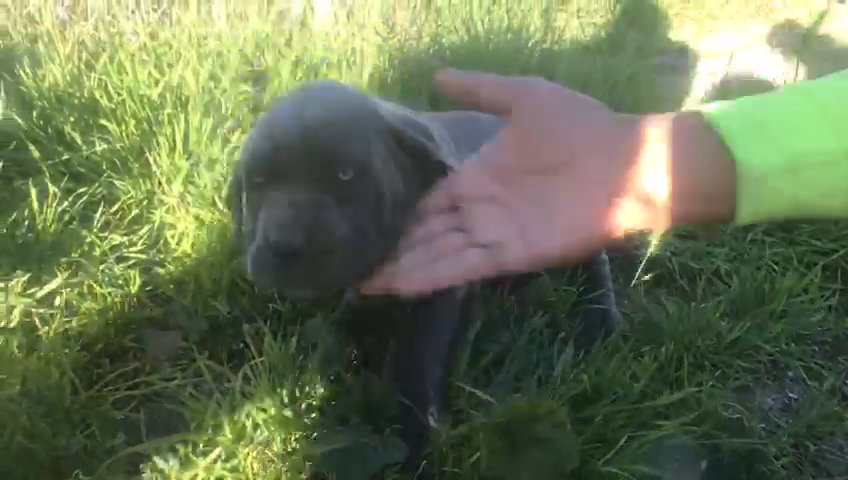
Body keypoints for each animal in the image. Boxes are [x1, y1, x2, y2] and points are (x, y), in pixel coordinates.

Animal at [227, 79, 624, 476]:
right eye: (258, 179)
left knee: (596, 265)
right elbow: (342, 325)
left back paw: (600, 320)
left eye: (345, 174)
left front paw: (410, 435)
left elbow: (415, 355)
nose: (285, 243)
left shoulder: (441, 290)